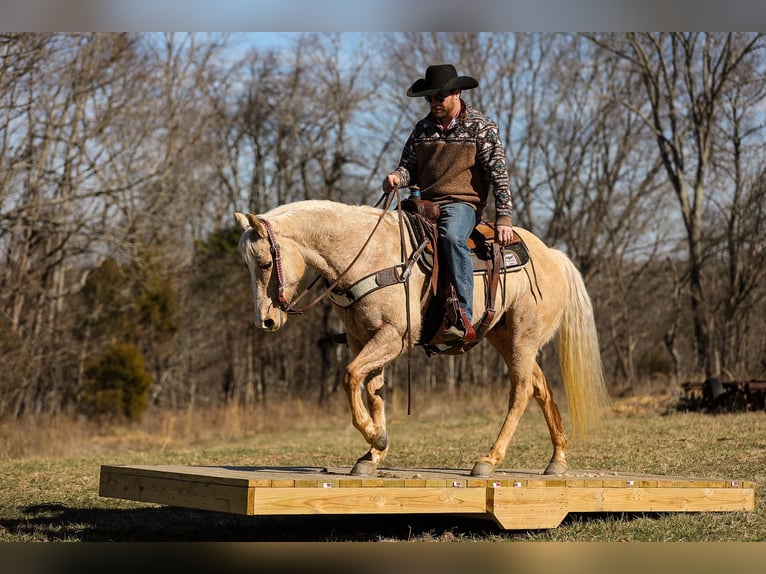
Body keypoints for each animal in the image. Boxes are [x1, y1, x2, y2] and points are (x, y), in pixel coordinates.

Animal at [236, 200, 612, 480]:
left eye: (266, 263)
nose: (265, 320)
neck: (367, 254)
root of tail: (552, 255)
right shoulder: (363, 339)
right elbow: (372, 391)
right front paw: (373, 454)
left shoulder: (394, 337)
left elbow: (350, 376)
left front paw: (375, 437)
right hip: (504, 338)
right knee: (540, 387)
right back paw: (557, 459)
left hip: (523, 338)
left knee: (520, 392)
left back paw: (489, 459)